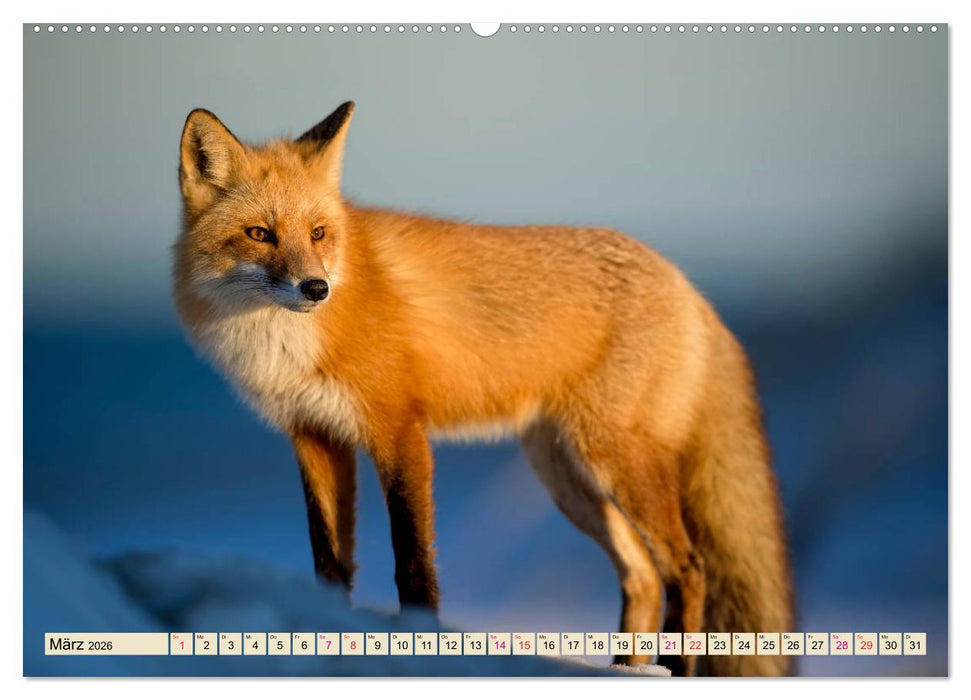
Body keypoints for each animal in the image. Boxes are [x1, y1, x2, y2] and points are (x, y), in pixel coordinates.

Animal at [172, 101, 794, 676]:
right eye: (260, 234)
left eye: (318, 233)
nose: (316, 288)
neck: (285, 344)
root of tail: (688, 286)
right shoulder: (314, 436)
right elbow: (329, 563)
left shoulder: (399, 431)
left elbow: (413, 563)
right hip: (567, 477)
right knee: (641, 574)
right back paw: (626, 668)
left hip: (616, 461)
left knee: (687, 568)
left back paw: (675, 668)